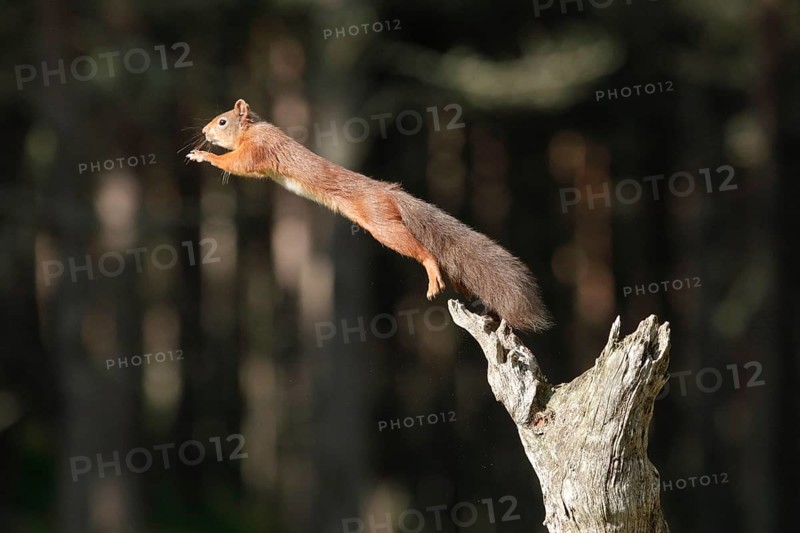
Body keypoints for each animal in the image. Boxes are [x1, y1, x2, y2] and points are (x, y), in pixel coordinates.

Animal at [187, 99, 552, 332]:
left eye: (222, 121)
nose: (204, 131)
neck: (253, 129)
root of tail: (389, 192)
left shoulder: (259, 149)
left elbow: (238, 164)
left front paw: (204, 156)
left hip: (381, 224)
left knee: (424, 251)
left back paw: (434, 274)